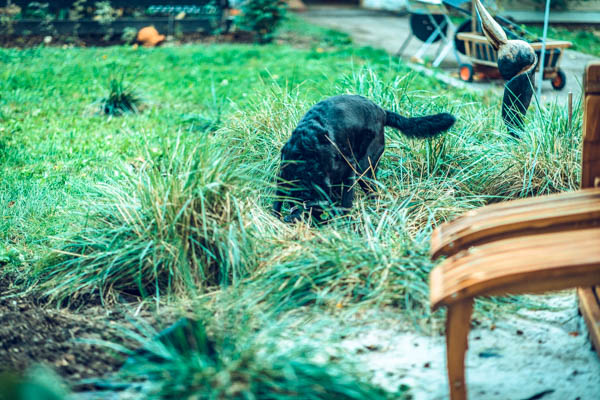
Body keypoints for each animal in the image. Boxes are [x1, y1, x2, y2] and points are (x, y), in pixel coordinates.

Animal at [273, 95, 455, 222]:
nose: (290, 219)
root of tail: (382, 111)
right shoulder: (282, 176)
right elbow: (277, 203)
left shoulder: (349, 170)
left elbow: (346, 202)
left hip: (364, 168)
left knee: (373, 193)